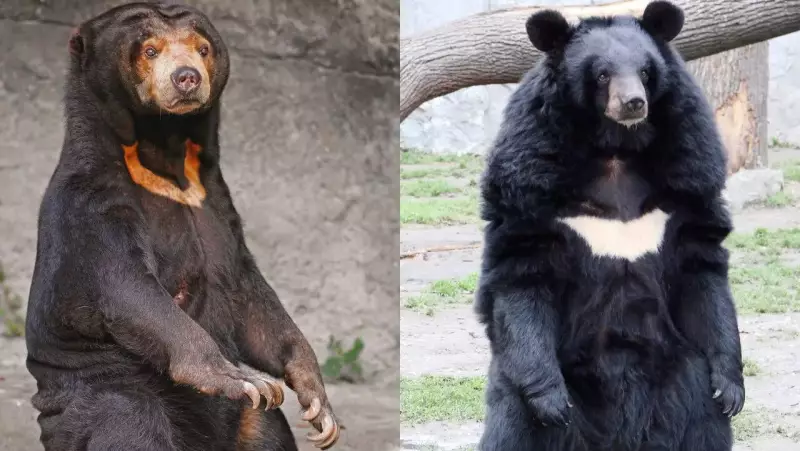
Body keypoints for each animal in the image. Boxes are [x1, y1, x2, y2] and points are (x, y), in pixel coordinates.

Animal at [24, 3, 339, 451]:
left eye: (202, 48)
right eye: (149, 50)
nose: (186, 76)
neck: (164, 154)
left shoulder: (216, 200)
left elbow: (251, 296)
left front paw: (318, 406)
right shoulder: (92, 202)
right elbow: (129, 289)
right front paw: (243, 378)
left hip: (244, 420)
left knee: (267, 431)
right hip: (103, 392)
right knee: (129, 426)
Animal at [475, 2, 744, 450]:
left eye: (646, 71)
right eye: (602, 74)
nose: (634, 103)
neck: (616, 145)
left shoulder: (692, 165)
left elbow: (701, 264)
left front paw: (731, 388)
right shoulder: (528, 170)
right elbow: (524, 265)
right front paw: (551, 401)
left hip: (680, 368)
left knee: (703, 423)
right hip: (531, 377)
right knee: (512, 425)